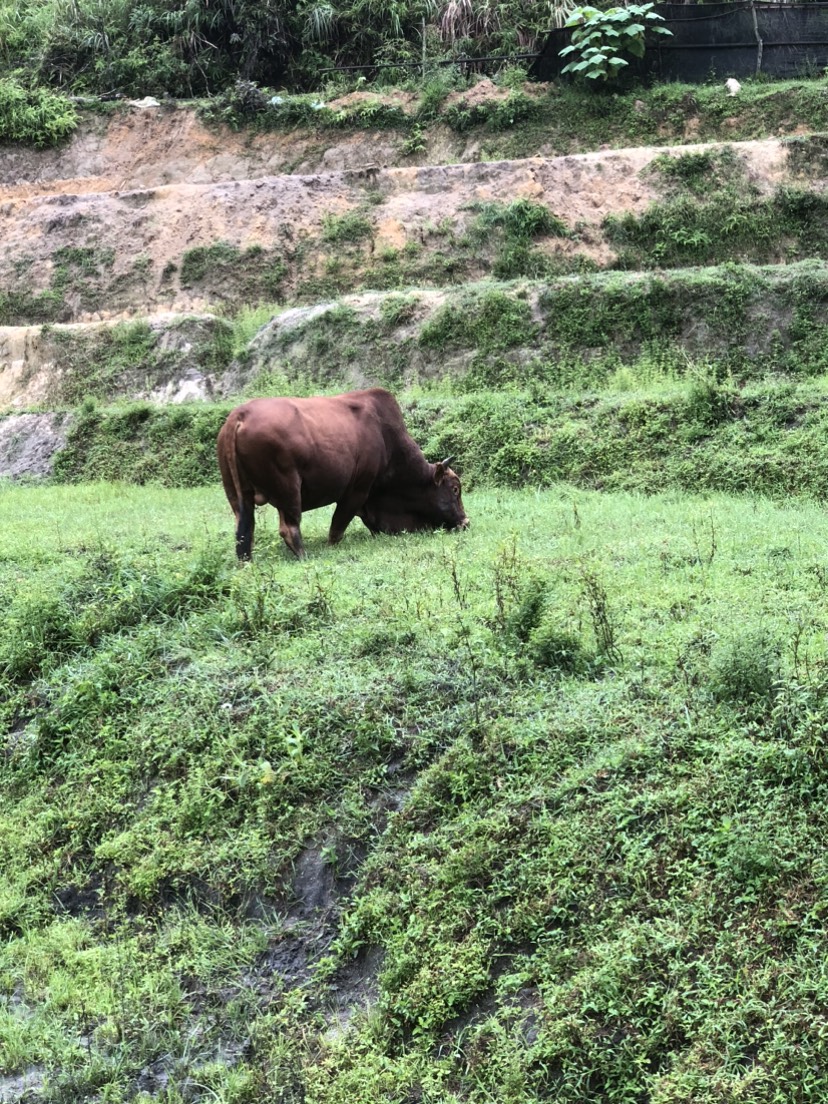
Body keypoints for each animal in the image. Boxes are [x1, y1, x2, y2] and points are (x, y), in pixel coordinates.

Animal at [217, 388, 470, 560]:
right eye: (455, 488)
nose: (465, 522)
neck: (387, 440)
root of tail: (240, 415)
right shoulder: (357, 491)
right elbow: (336, 529)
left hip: (238, 496)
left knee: (244, 531)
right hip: (288, 488)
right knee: (289, 528)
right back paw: (304, 556)